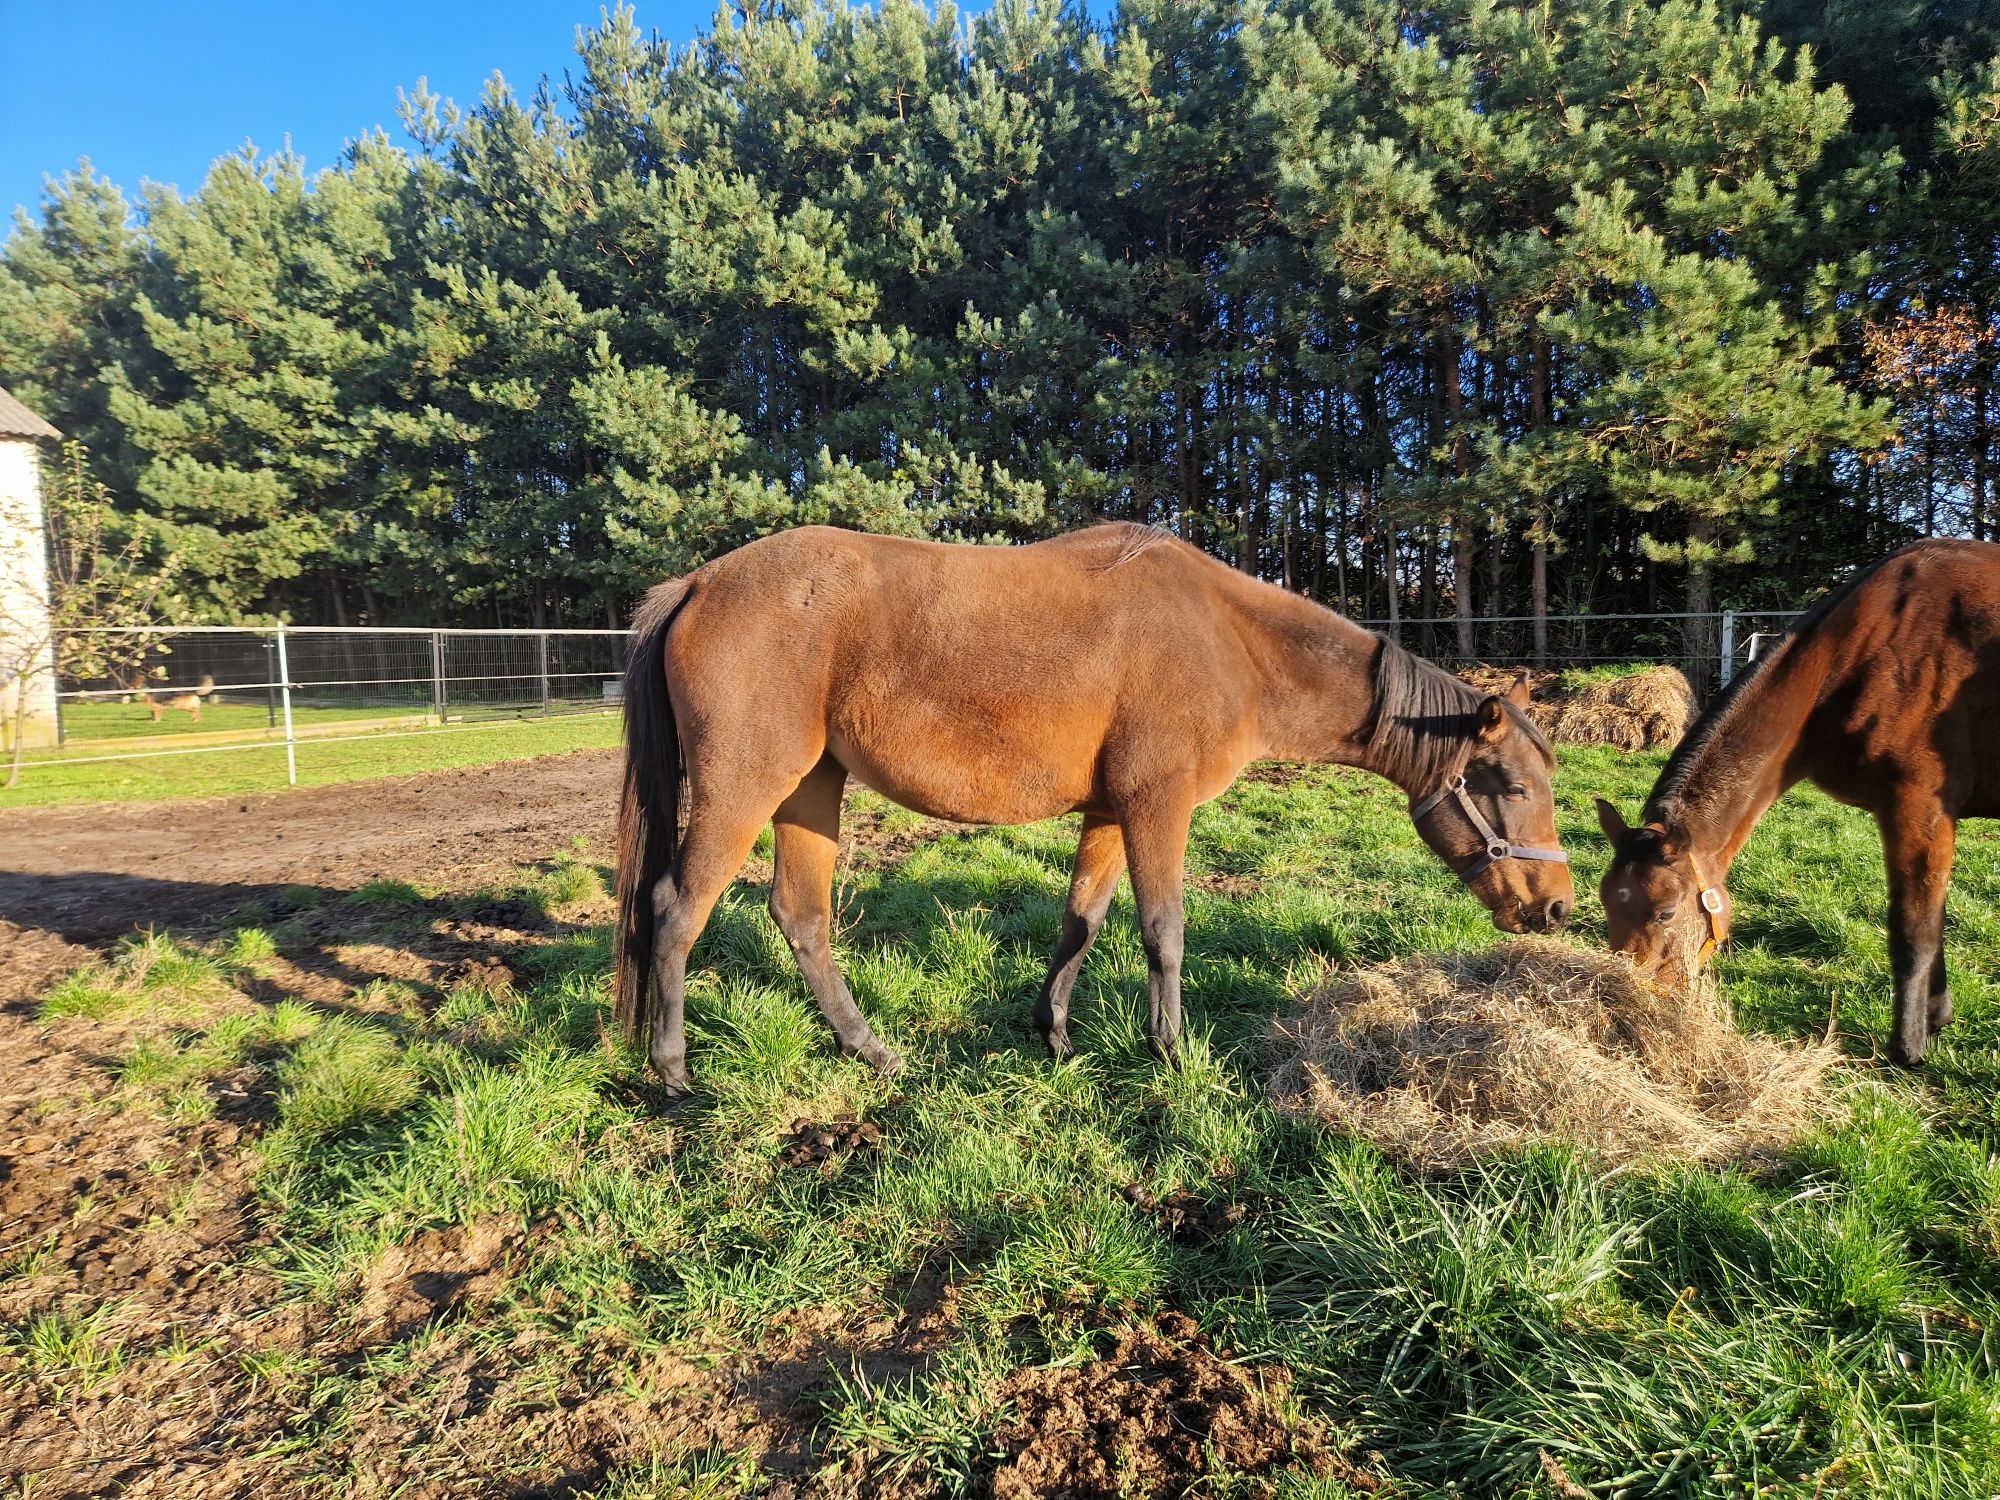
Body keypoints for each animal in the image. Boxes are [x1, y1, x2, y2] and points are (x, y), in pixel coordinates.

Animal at [616, 524, 1568, 1096]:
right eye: (1515, 789)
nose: (1556, 906)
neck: (1231, 643)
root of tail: (699, 581)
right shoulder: (1157, 806)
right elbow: (1163, 929)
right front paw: (1171, 1051)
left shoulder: (1113, 812)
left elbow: (1083, 919)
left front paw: (1056, 1034)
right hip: (746, 786)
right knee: (675, 909)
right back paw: (672, 1069)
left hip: (811, 788)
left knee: (801, 916)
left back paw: (870, 1049)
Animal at [1592, 540, 2000, 1072]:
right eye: (1606, 902)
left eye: (1665, 913)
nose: (1631, 998)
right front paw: (1936, 1020)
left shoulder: (1918, 807)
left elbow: (1916, 929)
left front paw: (1908, 1049)